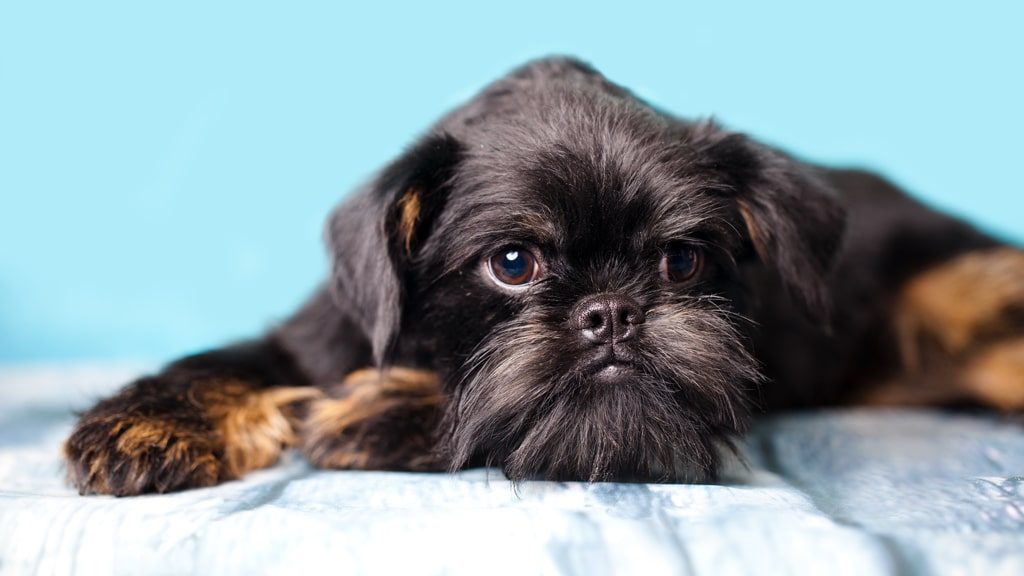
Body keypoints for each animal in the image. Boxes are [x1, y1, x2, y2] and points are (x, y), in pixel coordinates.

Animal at [64, 54, 1024, 494]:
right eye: (514, 264)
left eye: (681, 261)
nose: (613, 312)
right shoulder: (315, 336)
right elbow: (227, 358)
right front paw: (150, 419)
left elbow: (482, 409)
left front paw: (390, 410)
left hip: (961, 285)